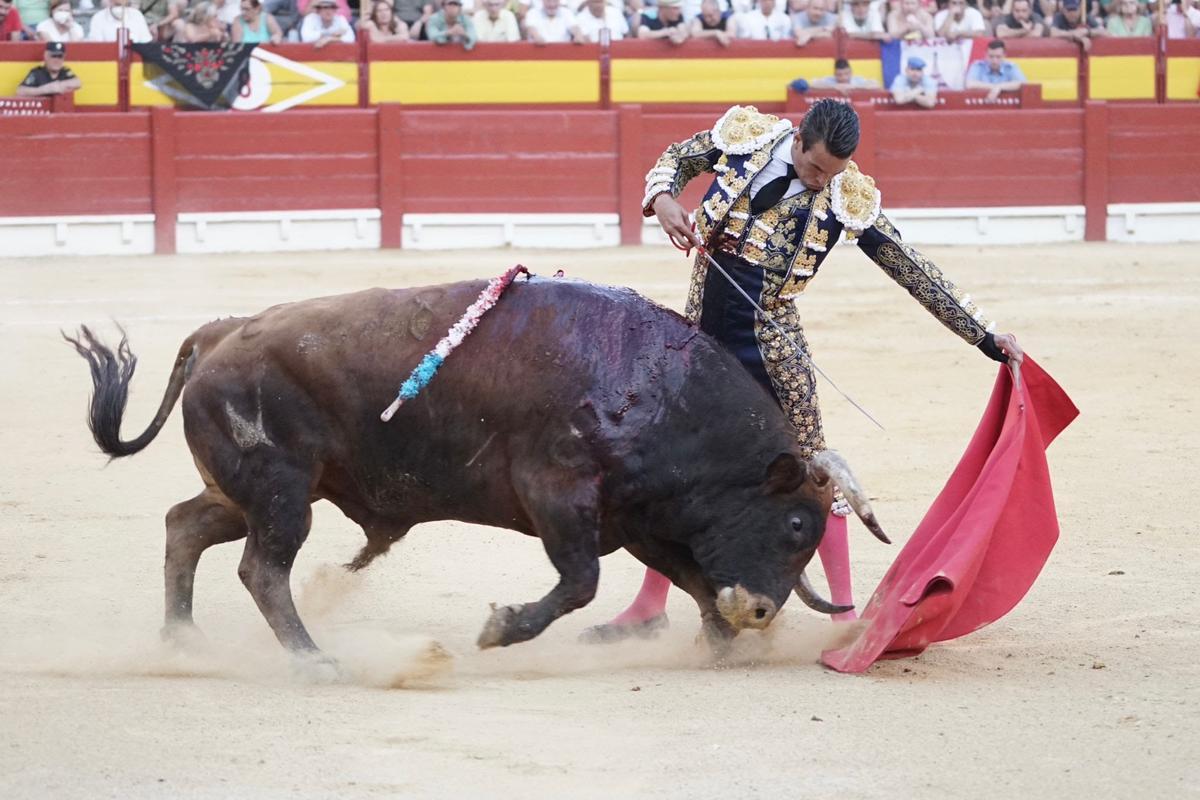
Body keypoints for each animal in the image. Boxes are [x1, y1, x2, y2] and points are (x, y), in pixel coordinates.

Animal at [68, 278, 883, 662]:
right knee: (261, 571)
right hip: (280, 492)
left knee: (185, 527)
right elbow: (580, 583)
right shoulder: (559, 496)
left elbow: (688, 579)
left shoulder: (639, 519)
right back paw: (312, 661)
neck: (655, 386)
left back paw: (183, 640)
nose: (762, 612)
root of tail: (222, 333)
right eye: (797, 522)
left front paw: (714, 645)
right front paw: (501, 629)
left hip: (249, 491)